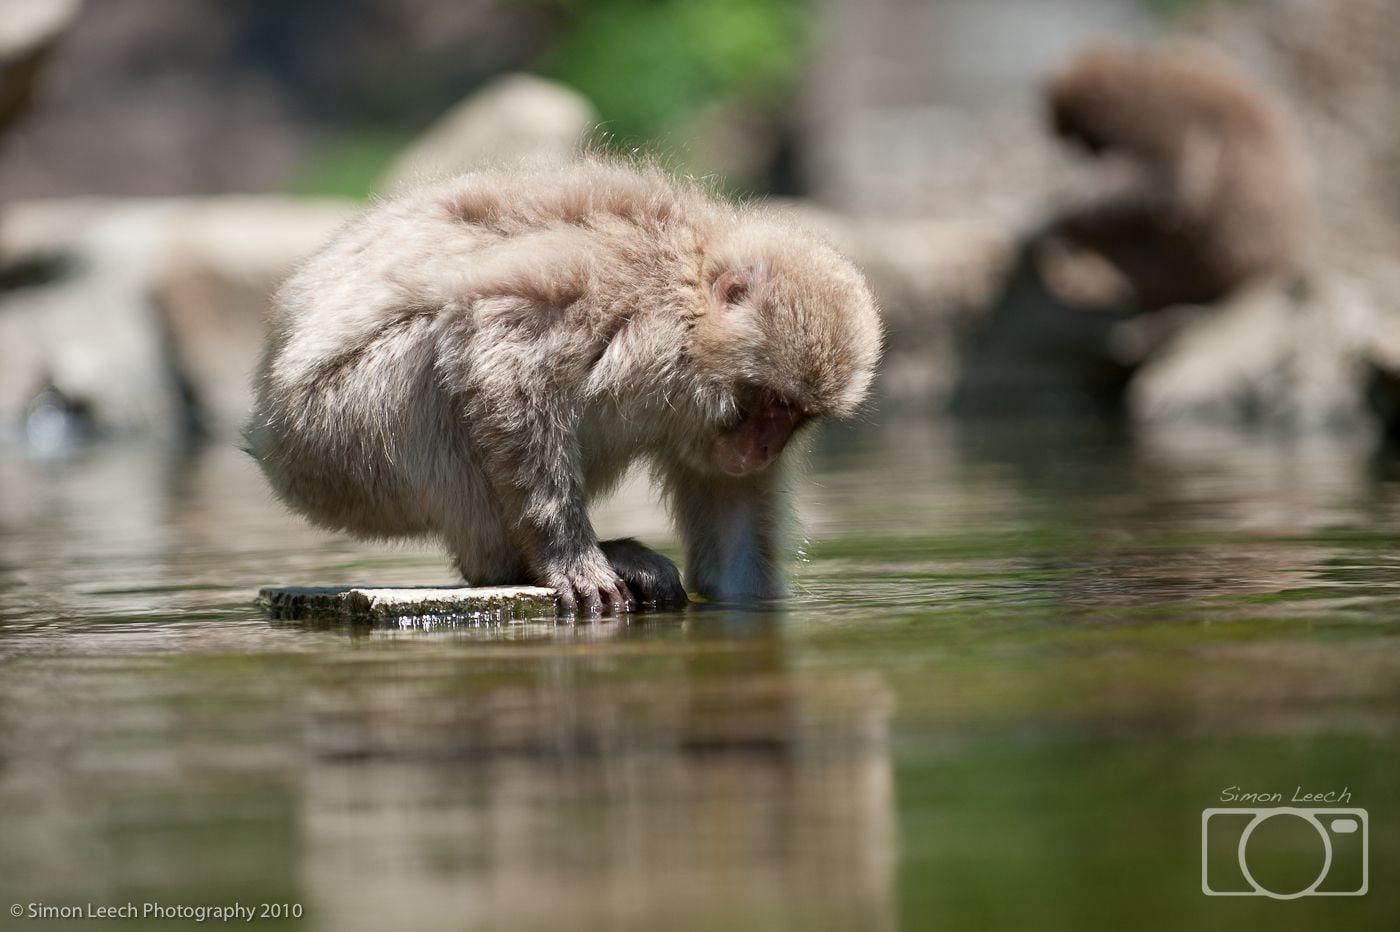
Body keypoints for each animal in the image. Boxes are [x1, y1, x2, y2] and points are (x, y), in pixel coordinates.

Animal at [245, 159, 882, 616]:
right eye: (771, 402)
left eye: (796, 415)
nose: (765, 448)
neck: (688, 299)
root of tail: (265, 428)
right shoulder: (625, 292)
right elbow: (501, 349)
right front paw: (568, 559)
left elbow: (734, 538)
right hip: (335, 444)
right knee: (436, 360)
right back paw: (518, 567)